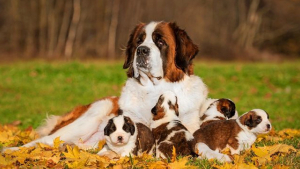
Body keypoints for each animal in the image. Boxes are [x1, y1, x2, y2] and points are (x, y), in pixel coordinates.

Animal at [2, 21, 209, 152]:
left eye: (160, 41)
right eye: (139, 41)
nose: (141, 50)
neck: (154, 89)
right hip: (91, 115)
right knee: (43, 140)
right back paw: (12, 150)